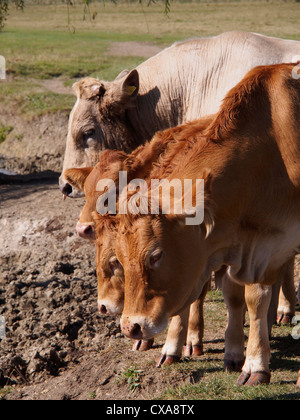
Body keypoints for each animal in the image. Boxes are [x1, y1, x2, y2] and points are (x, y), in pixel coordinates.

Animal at [116, 62, 300, 388]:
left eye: (156, 255)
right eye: (121, 259)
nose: (131, 327)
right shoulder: (260, 245)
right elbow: (250, 298)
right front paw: (251, 361)